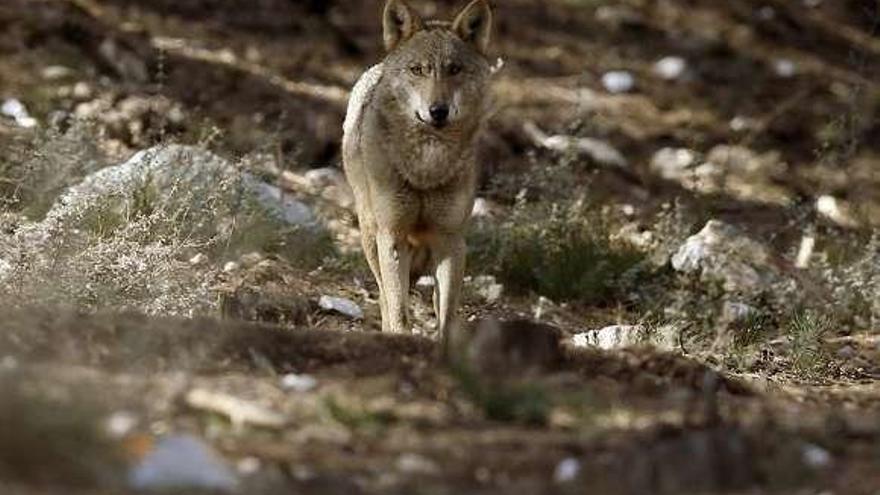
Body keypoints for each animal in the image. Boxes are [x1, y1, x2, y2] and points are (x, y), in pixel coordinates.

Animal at [342, 0, 496, 348]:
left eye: (454, 69)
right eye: (418, 70)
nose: (438, 111)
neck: (427, 167)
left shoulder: (450, 241)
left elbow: (447, 319)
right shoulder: (393, 236)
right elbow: (399, 311)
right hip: (371, 237)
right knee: (384, 297)